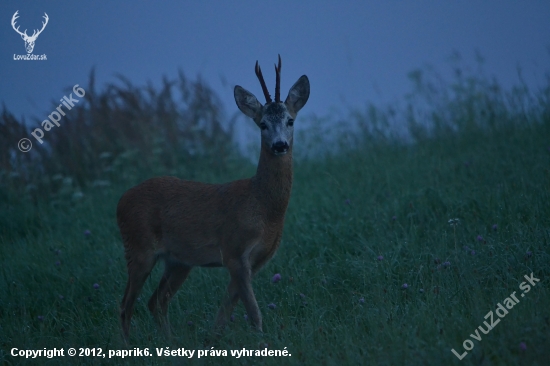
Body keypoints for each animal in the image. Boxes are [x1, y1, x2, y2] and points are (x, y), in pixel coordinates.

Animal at [117, 55, 310, 340]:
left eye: (290, 121)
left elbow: (224, 311)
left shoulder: (256, 260)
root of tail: (121, 201)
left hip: (178, 261)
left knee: (156, 300)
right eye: (262, 124)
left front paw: (214, 340)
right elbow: (253, 312)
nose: (279, 145)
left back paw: (170, 340)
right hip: (139, 249)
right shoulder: (234, 251)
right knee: (126, 305)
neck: (263, 207)